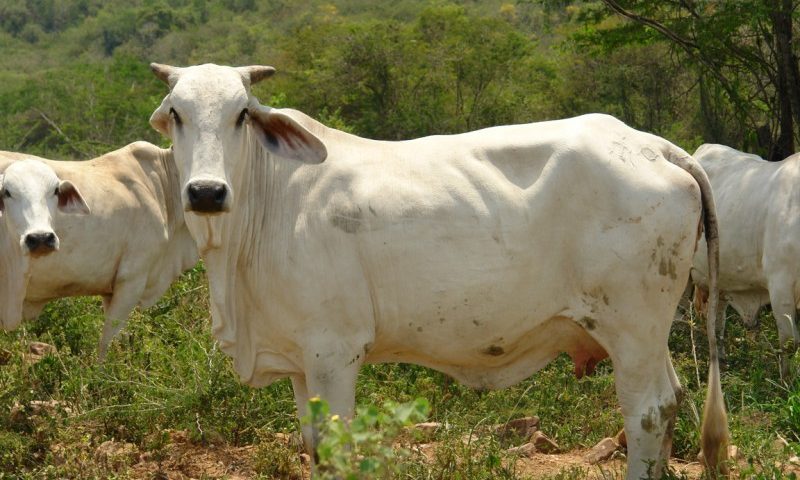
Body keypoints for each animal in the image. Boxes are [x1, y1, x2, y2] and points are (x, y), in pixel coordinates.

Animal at [150, 62, 732, 476]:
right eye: (176, 113)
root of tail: (654, 146)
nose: (206, 192)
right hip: (648, 334)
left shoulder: (334, 351)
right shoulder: (298, 360)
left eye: (242, 114)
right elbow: (312, 447)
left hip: (631, 326)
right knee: (672, 400)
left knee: (648, 411)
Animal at [692, 143, 800, 378]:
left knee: (716, 320)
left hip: (719, 280)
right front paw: (787, 381)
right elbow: (789, 343)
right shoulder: (781, 285)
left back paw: (721, 360)